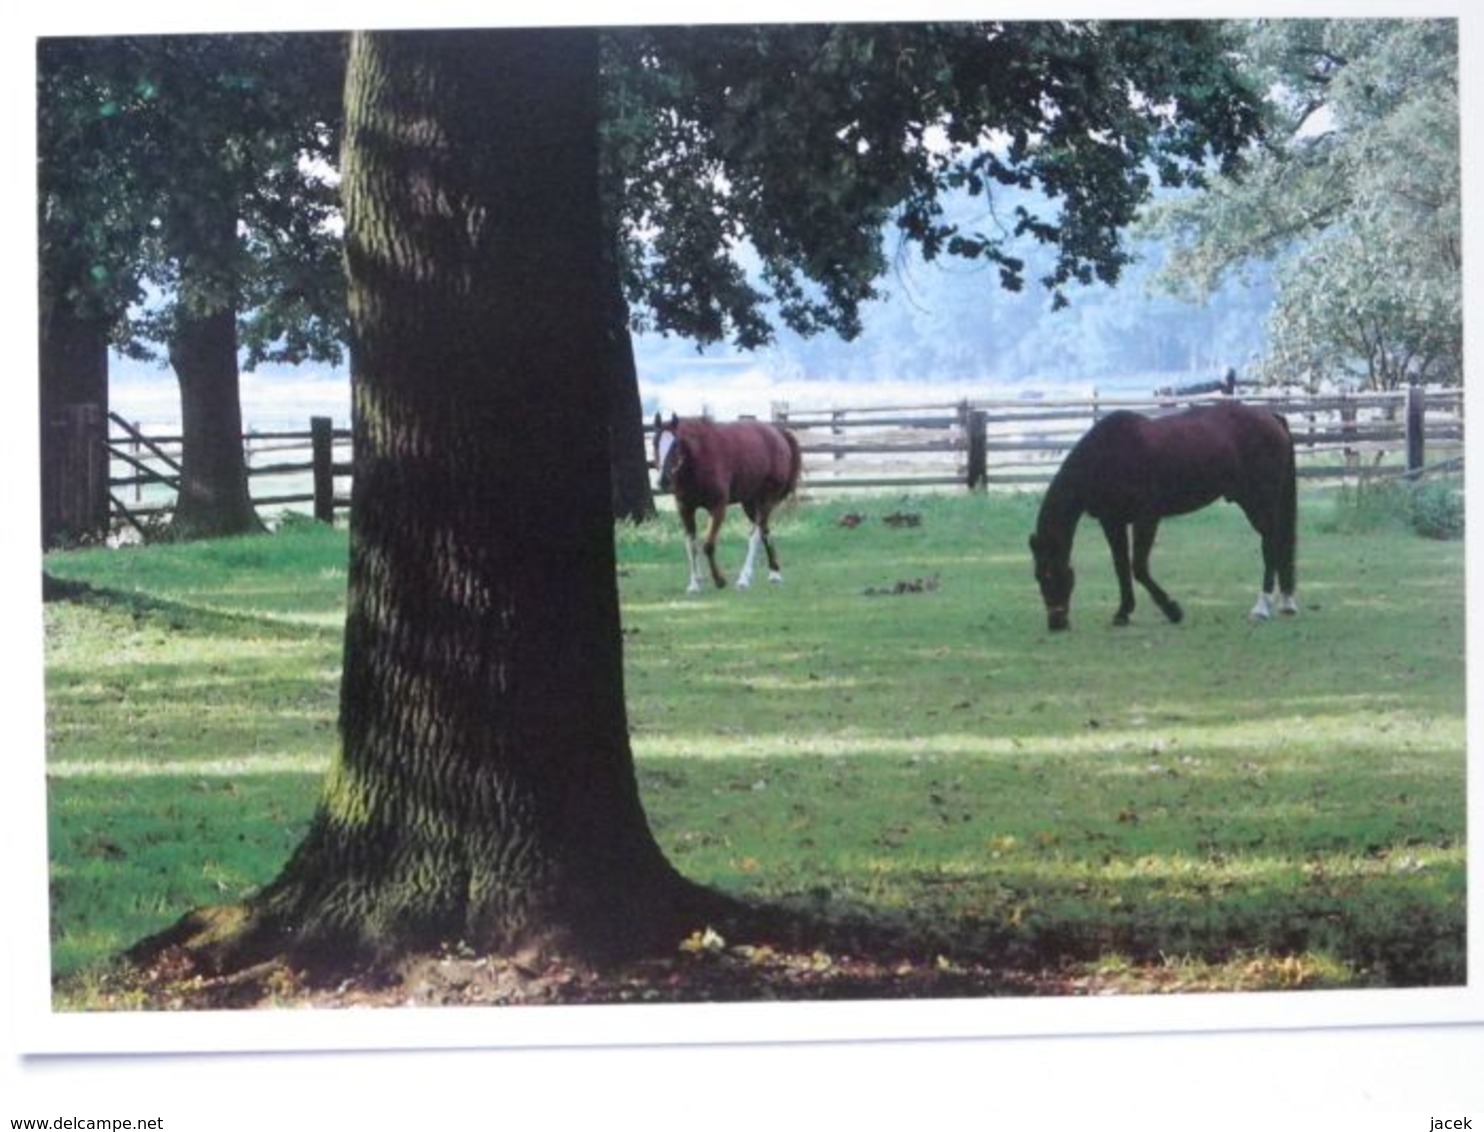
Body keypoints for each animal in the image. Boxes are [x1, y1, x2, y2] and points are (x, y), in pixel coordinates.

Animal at [655, 415, 807, 593]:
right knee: (764, 531)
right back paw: (769, 574)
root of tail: (779, 433)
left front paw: (719, 580)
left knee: (756, 535)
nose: (663, 481)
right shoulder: (685, 509)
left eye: (675, 445)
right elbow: (691, 546)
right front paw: (694, 584)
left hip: (765, 501)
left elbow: (708, 545)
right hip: (749, 504)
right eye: (655, 442)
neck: (700, 459)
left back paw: (747, 579)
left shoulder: (718, 508)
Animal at [1032, 400, 1299, 632]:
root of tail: (1271, 416)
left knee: (1270, 545)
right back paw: (1286, 602)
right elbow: (1121, 567)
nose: (1056, 624)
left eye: (1049, 573)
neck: (1107, 456)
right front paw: (1123, 612)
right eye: (1037, 576)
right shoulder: (1112, 522)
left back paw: (1262, 606)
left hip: (1259, 503)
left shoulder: (1147, 519)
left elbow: (1139, 568)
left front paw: (1172, 610)